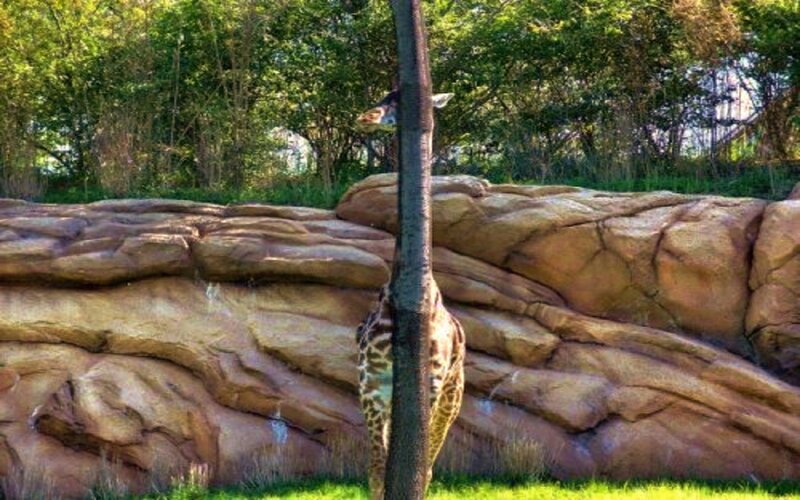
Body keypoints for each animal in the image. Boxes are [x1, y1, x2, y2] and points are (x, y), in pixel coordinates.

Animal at [355, 90, 465, 500]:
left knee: (430, 465)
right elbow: (376, 471)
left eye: (399, 102)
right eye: (383, 96)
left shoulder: (430, 384)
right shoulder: (370, 381)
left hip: (453, 392)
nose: (366, 116)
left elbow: (408, 468)